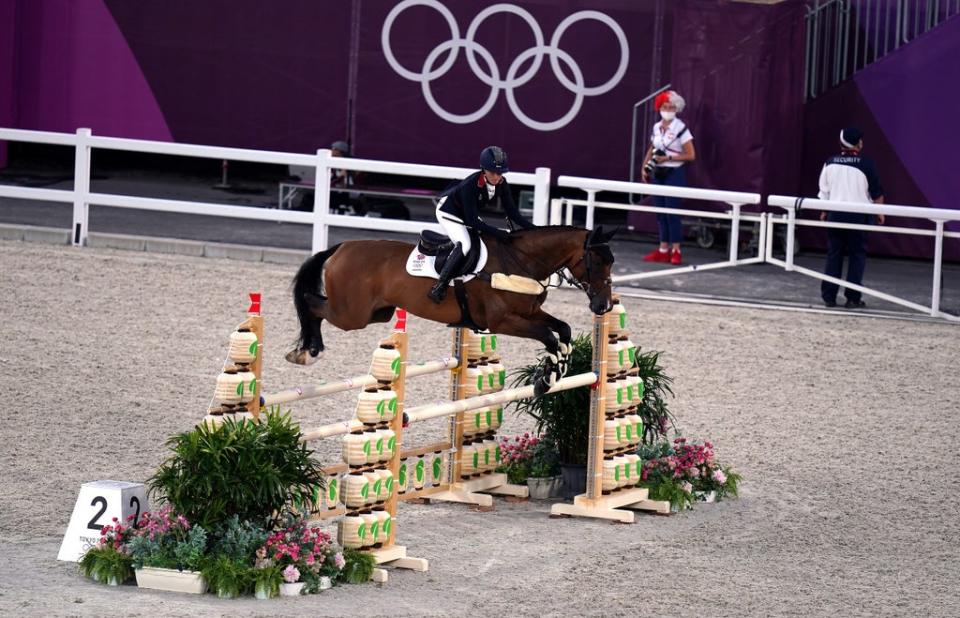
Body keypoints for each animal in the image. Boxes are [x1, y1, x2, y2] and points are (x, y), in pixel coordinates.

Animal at [284, 225, 616, 394]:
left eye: (611, 261)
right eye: (598, 261)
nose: (603, 306)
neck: (521, 262)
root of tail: (342, 247)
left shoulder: (530, 313)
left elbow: (563, 330)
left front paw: (554, 373)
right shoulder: (502, 321)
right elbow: (548, 336)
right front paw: (544, 380)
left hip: (377, 313)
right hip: (351, 315)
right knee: (311, 302)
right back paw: (307, 352)